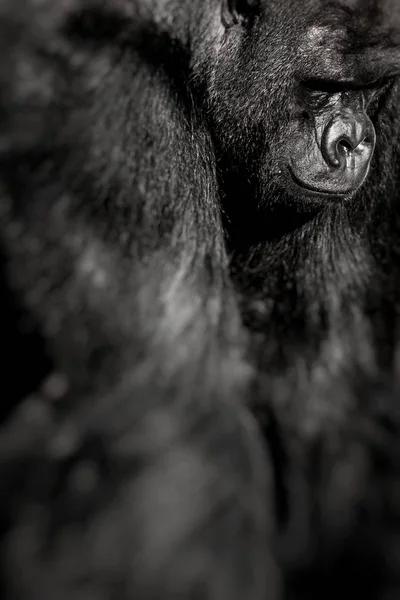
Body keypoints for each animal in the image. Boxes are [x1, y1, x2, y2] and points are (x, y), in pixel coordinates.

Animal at [1, 0, 400, 596]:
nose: (353, 141)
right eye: (326, 85)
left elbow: (332, 414)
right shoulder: (123, 108)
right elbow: (177, 411)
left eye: (374, 86)